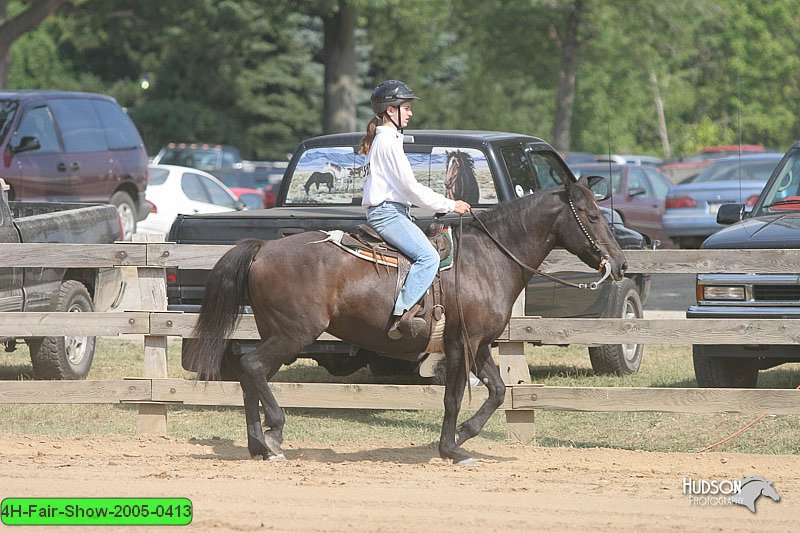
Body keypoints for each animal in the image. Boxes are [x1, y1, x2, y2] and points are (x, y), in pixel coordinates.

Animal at [186, 177, 624, 464]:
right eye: (590, 216)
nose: (619, 264)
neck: (486, 260)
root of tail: (263, 248)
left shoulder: (479, 344)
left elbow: (498, 391)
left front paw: (464, 437)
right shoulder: (460, 346)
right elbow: (452, 397)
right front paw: (451, 449)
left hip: (275, 333)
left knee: (250, 372)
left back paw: (259, 445)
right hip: (293, 334)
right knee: (253, 366)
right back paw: (273, 435)